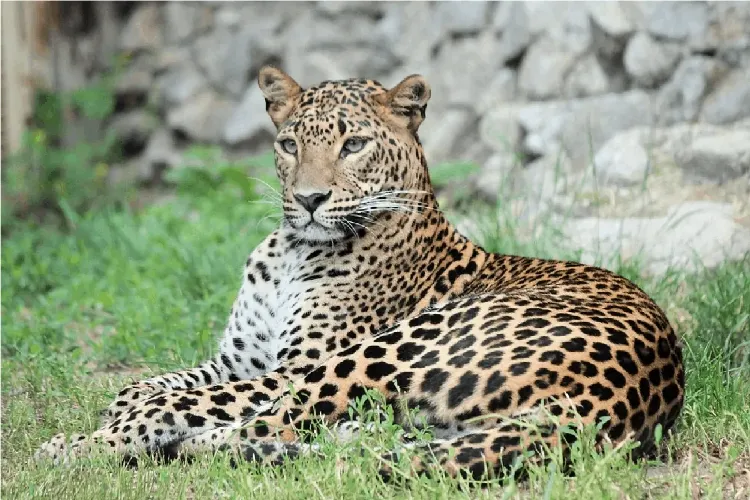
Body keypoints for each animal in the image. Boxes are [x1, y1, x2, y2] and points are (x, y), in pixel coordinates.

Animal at [35, 66, 685, 481]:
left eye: (353, 146)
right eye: (289, 145)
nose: (309, 199)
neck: (292, 252)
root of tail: (622, 400)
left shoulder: (289, 367)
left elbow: (183, 400)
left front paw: (104, 432)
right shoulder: (239, 358)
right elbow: (148, 384)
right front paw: (125, 405)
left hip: (383, 353)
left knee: (271, 425)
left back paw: (104, 448)